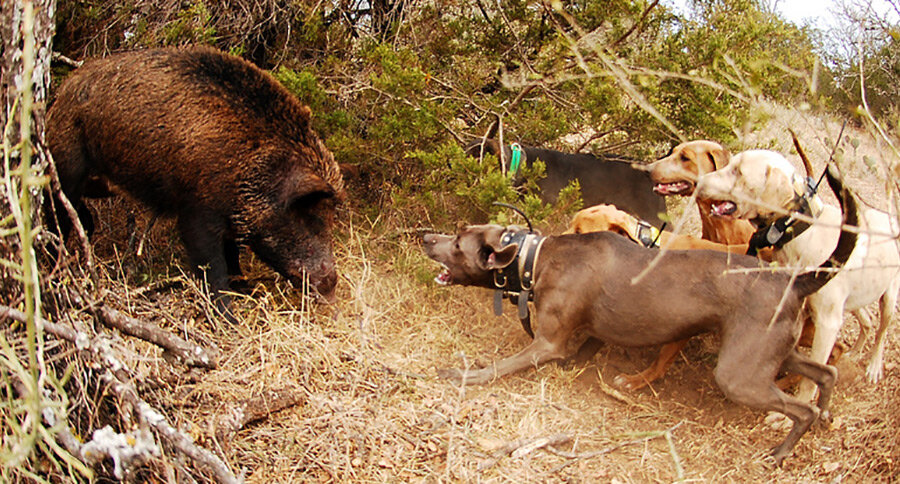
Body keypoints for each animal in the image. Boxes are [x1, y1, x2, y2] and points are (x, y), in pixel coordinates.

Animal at [424, 165, 856, 466]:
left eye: (458, 243)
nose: (425, 236)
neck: (536, 258)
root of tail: (794, 280)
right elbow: (579, 350)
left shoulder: (547, 342)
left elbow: (500, 367)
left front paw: (461, 375)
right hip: (772, 351)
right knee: (826, 372)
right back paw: (825, 415)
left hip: (739, 374)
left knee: (802, 406)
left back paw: (781, 452)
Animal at [700, 149, 900, 402]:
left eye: (738, 172)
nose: (699, 181)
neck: (801, 229)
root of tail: (888, 217)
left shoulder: (827, 324)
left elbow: (810, 379)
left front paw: (795, 407)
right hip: (857, 298)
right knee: (867, 319)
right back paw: (855, 351)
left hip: (889, 298)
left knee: (882, 329)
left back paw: (874, 366)